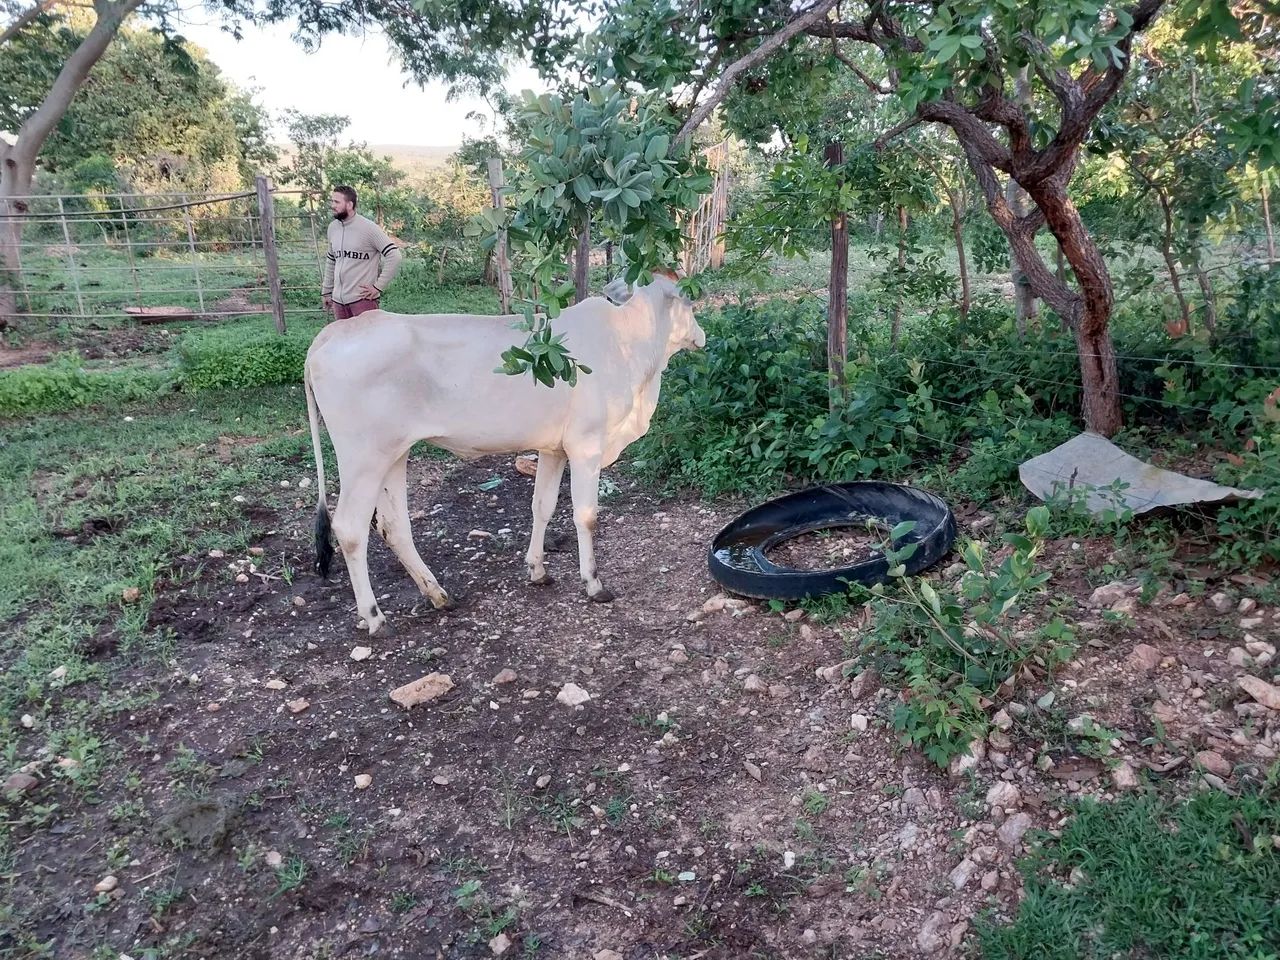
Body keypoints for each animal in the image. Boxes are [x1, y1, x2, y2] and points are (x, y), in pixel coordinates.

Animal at [303, 271, 706, 636]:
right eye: (689, 303)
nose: (701, 336)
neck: (628, 339)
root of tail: (331, 334)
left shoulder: (553, 449)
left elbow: (542, 506)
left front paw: (538, 570)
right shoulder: (586, 445)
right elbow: (586, 516)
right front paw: (593, 583)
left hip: (394, 455)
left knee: (393, 526)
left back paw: (439, 595)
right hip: (363, 459)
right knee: (350, 529)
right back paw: (375, 617)